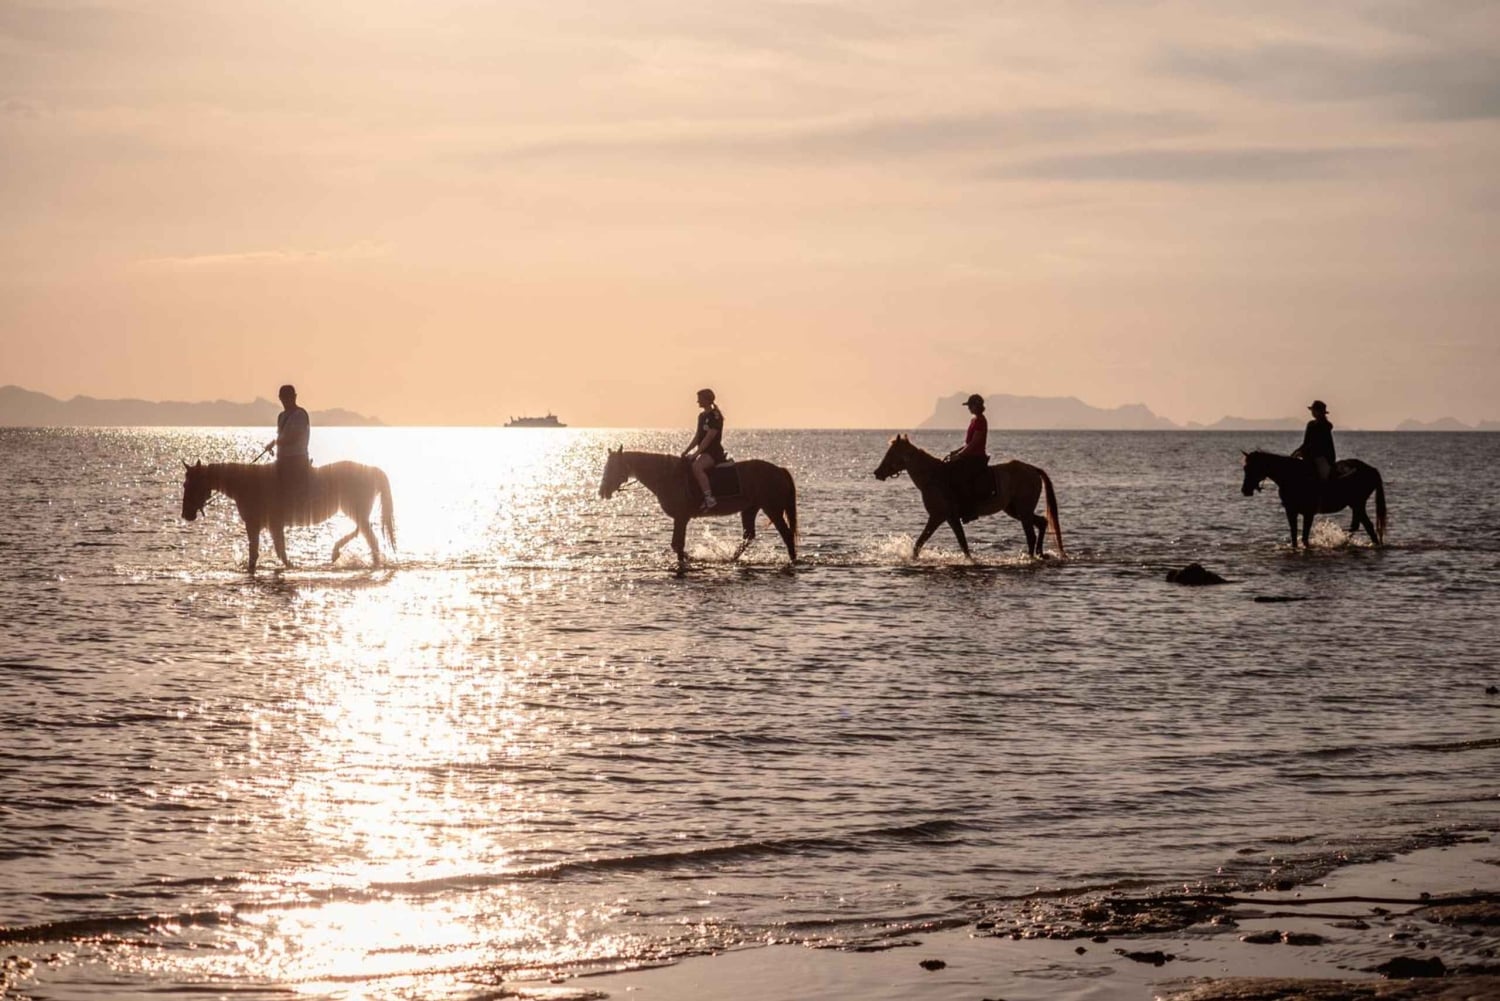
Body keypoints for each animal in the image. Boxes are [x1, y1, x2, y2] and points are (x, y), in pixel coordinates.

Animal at [181, 460, 396, 573]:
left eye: (190, 484)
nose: (185, 514)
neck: (248, 484)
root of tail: (371, 470)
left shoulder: (256, 524)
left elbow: (259, 553)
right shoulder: (272, 526)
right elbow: (278, 551)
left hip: (355, 510)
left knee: (369, 537)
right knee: (365, 533)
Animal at [598, 449, 798, 563]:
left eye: (612, 467)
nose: (602, 491)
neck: (667, 475)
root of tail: (779, 470)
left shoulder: (681, 517)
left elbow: (677, 545)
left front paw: (689, 559)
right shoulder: (681, 519)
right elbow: (677, 545)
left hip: (772, 509)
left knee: (787, 535)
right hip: (749, 509)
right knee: (748, 536)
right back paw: (730, 558)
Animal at [872, 435, 1065, 559]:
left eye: (891, 453)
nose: (877, 472)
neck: (933, 477)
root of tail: (1033, 469)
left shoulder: (939, 516)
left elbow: (922, 543)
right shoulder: (949, 518)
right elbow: (961, 543)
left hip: (1023, 511)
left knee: (1031, 535)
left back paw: (1030, 558)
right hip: (1015, 510)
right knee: (1042, 523)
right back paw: (1040, 554)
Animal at [1240, 450, 1386, 548]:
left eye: (1253, 467)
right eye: (1245, 468)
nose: (1245, 490)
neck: (1291, 475)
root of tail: (1372, 469)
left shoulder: (1308, 513)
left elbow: (1305, 536)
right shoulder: (1291, 511)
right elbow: (1294, 535)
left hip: (1358, 504)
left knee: (1366, 526)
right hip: (1356, 505)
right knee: (1360, 525)